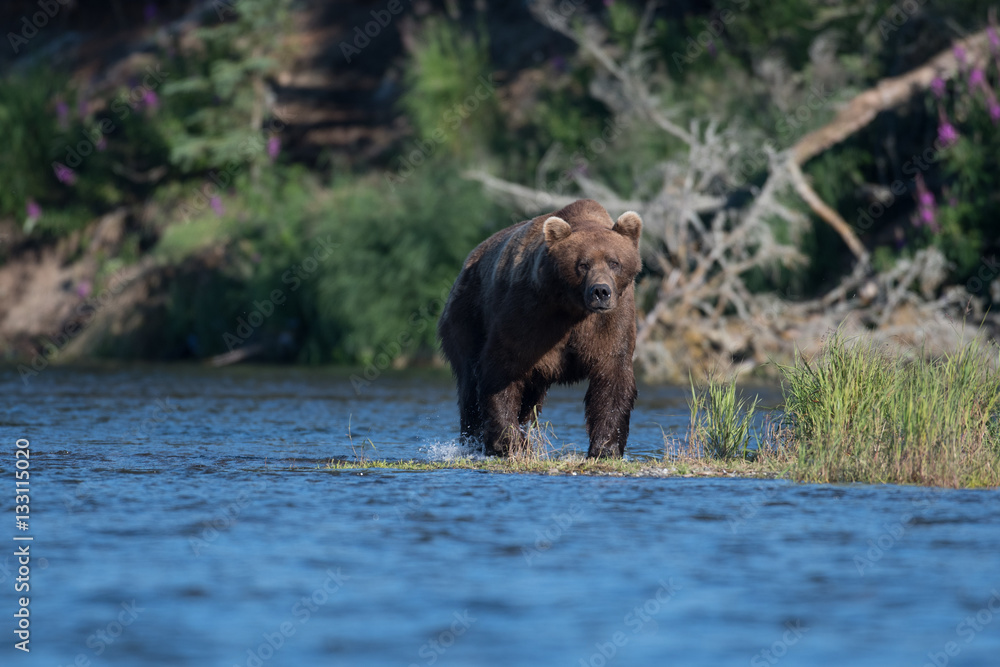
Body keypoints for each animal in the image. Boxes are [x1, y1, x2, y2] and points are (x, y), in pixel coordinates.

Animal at [437, 198, 643, 458]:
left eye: (614, 262)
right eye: (583, 264)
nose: (600, 291)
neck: (573, 308)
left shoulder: (611, 321)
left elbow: (612, 373)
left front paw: (605, 447)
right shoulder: (532, 312)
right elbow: (503, 367)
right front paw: (506, 443)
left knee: (529, 398)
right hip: (467, 317)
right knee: (470, 384)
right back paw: (474, 440)